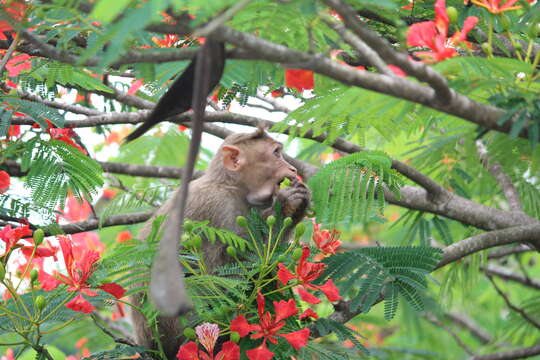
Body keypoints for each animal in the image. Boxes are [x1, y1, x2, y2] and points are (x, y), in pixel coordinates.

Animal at [128, 128, 310, 358]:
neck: (230, 186)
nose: (293, 168)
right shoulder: (214, 207)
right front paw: (287, 204)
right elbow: (216, 275)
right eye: (276, 153)